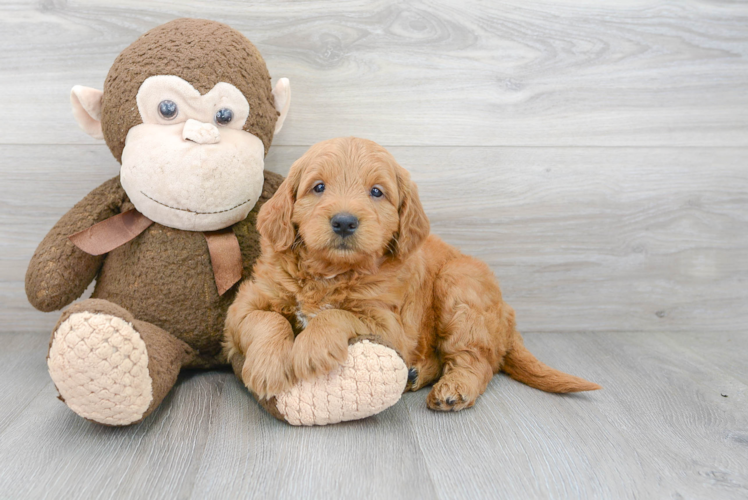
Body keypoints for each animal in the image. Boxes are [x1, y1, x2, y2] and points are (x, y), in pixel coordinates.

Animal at [224, 136, 600, 410]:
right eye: (318, 187)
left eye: (376, 192)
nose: (344, 221)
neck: (331, 274)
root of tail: (507, 316)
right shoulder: (242, 307)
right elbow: (267, 318)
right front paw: (268, 366)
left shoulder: (389, 325)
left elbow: (337, 315)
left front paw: (311, 348)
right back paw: (415, 375)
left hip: (459, 286)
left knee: (479, 359)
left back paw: (455, 388)